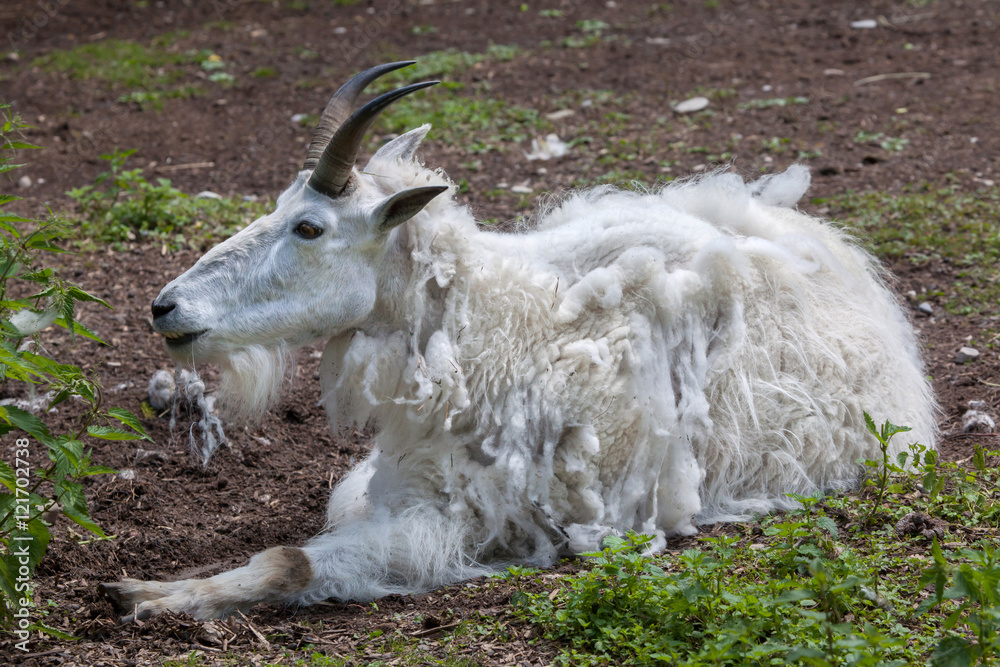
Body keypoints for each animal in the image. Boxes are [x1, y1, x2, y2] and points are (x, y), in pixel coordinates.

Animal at [101, 62, 936, 621]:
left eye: (309, 227)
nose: (167, 306)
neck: (494, 332)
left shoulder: (462, 525)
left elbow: (291, 560)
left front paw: (150, 594)